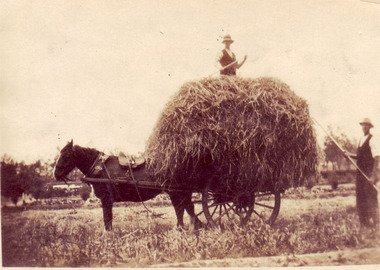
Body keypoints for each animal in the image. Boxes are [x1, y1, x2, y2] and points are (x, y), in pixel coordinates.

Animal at [55, 140, 202, 231]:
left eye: (67, 156)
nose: (55, 173)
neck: (100, 167)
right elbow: (108, 219)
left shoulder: (106, 199)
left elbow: (107, 219)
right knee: (185, 208)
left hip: (175, 191)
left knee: (182, 208)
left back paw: (183, 228)